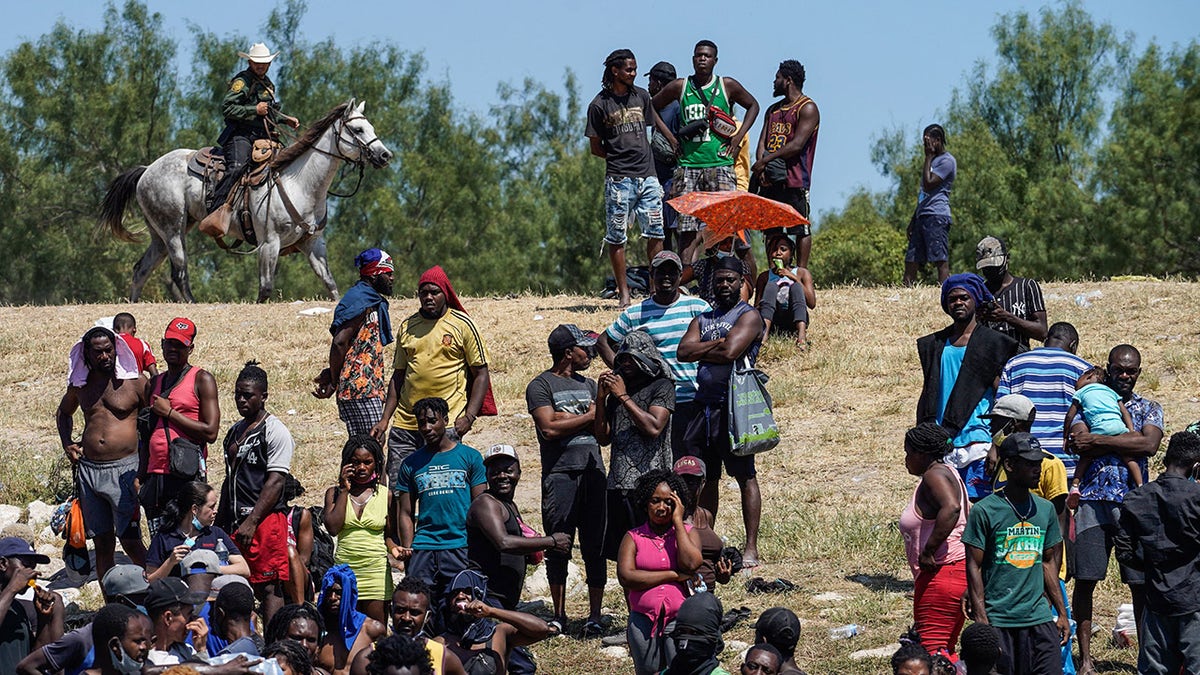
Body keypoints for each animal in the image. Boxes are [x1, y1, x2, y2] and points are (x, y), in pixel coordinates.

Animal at [99, 98, 388, 300]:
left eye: (371, 127)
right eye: (358, 129)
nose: (385, 155)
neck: (300, 184)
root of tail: (147, 169)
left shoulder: (313, 243)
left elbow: (330, 284)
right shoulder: (269, 243)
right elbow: (265, 289)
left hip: (160, 234)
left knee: (141, 270)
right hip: (173, 229)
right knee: (179, 272)